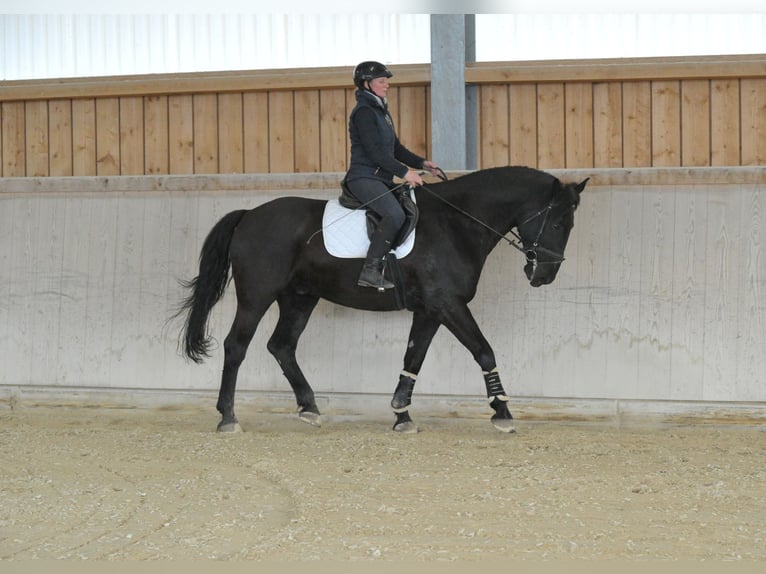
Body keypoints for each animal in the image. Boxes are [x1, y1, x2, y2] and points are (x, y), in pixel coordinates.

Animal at [176, 166, 589, 433]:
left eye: (570, 225)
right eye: (557, 223)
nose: (544, 275)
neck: (456, 224)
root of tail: (249, 215)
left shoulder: (431, 310)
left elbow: (413, 359)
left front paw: (401, 414)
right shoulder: (449, 305)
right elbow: (484, 351)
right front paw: (502, 411)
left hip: (300, 298)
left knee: (282, 346)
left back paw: (310, 408)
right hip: (256, 296)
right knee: (236, 346)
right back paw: (228, 418)